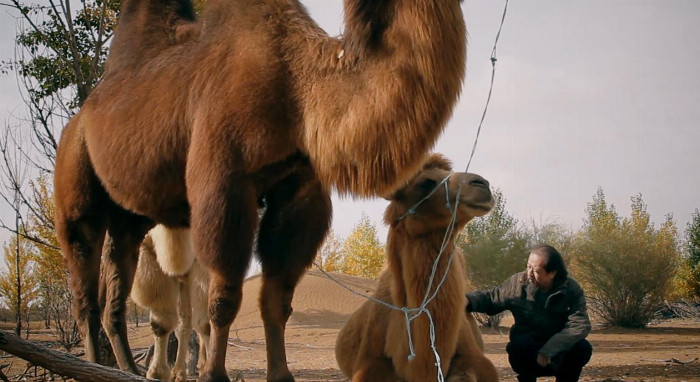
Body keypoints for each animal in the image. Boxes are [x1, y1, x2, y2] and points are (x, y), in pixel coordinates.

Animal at [130, 225, 209, 380]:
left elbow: (206, 323)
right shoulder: (148, 251)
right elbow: (161, 323)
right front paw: (157, 373)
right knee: (185, 323)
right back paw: (179, 373)